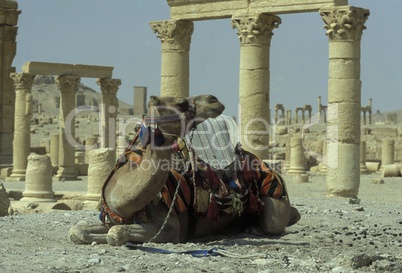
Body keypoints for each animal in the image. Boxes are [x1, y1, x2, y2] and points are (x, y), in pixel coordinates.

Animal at [69, 94, 300, 244]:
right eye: (180, 103)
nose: (214, 99)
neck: (119, 193)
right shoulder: (113, 216)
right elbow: (77, 230)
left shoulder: (171, 229)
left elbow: (115, 233)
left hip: (276, 199)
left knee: (278, 222)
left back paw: (254, 228)